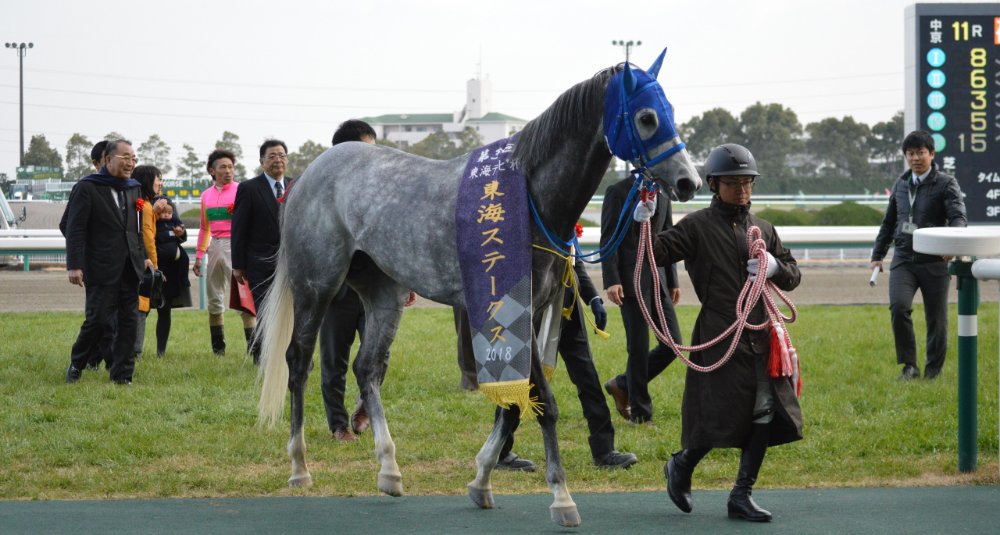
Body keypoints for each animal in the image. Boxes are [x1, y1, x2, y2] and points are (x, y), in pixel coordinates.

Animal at [258, 55, 704, 528]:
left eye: (670, 110)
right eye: (647, 117)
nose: (690, 182)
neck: (530, 198)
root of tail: (308, 175)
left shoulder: (528, 312)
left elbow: (514, 403)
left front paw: (482, 480)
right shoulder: (511, 310)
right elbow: (542, 402)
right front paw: (562, 497)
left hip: (383, 292)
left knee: (367, 368)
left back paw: (389, 470)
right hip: (316, 285)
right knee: (298, 362)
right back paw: (300, 468)